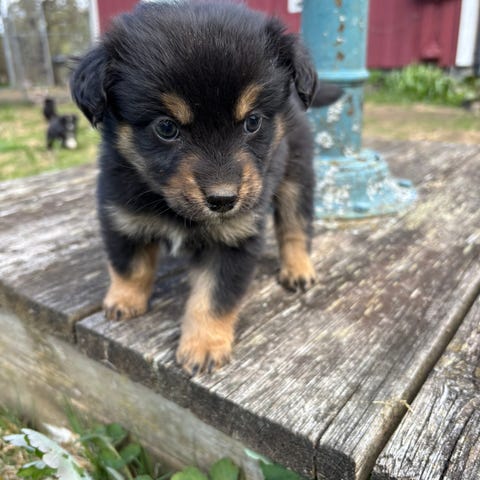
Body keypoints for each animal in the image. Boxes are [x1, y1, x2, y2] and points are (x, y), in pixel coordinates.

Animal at [70, 1, 342, 375]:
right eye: (166, 127)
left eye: (253, 121)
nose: (223, 200)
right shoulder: (121, 215)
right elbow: (130, 266)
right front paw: (124, 301)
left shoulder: (233, 238)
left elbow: (214, 297)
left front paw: (203, 347)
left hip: (296, 177)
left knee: (295, 226)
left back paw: (299, 269)